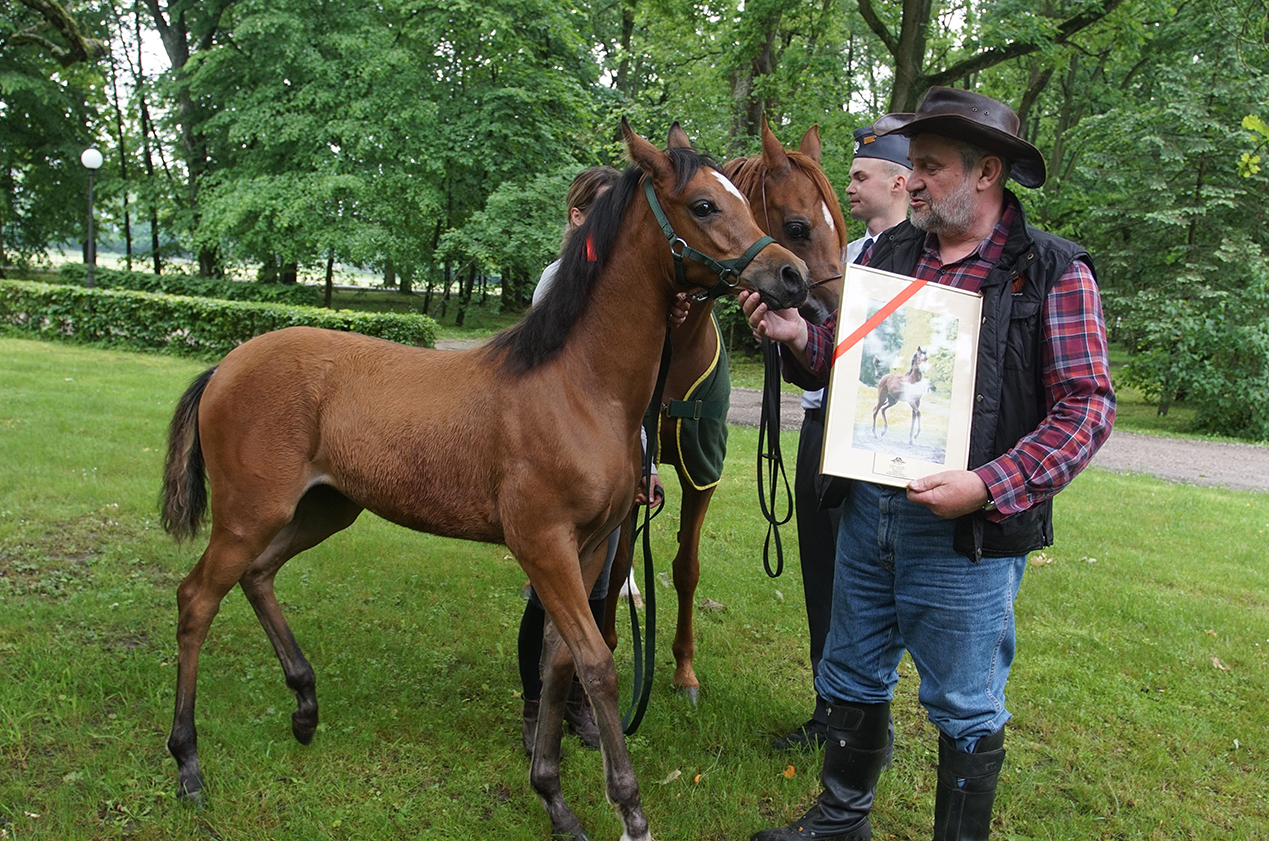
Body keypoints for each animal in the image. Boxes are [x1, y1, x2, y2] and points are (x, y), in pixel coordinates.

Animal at [158, 119, 807, 841]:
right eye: (703, 205)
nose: (791, 275)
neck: (578, 386)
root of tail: (225, 364)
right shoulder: (542, 544)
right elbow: (597, 664)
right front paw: (629, 808)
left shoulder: (585, 548)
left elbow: (558, 660)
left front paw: (554, 798)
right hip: (249, 512)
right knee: (197, 599)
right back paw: (188, 764)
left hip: (323, 508)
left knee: (258, 575)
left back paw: (304, 706)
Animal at [606, 113, 847, 705]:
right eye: (799, 225)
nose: (833, 311)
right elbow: (619, 560)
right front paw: (613, 644)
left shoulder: (703, 470)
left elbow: (686, 567)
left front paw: (683, 669)